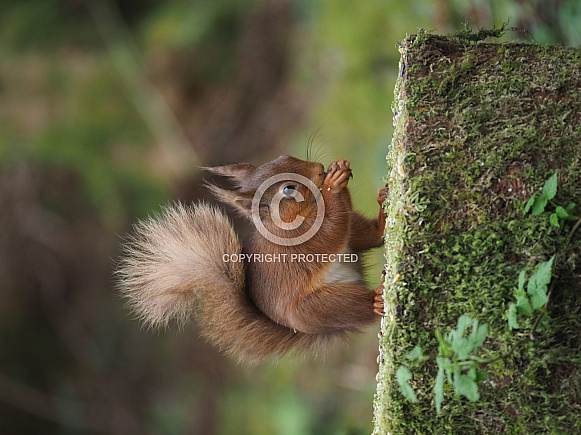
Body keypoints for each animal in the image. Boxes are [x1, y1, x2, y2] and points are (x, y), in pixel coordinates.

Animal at [117, 157, 386, 364]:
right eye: (288, 189)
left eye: (286, 157)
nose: (320, 168)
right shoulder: (297, 242)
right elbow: (330, 231)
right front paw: (333, 183)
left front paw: (338, 169)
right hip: (319, 307)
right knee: (358, 308)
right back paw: (376, 299)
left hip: (353, 243)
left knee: (369, 236)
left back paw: (383, 216)